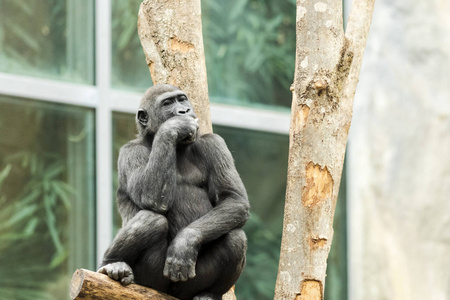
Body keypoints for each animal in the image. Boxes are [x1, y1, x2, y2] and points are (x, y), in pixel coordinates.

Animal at [98, 84, 250, 300]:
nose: (184, 111)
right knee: (151, 220)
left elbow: (233, 198)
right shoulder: (130, 152)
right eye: (168, 103)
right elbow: (151, 197)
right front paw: (174, 126)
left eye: (182, 99)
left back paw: (209, 293)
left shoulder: (214, 143)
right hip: (151, 280)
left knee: (235, 237)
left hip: (188, 286)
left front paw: (184, 242)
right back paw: (112, 264)